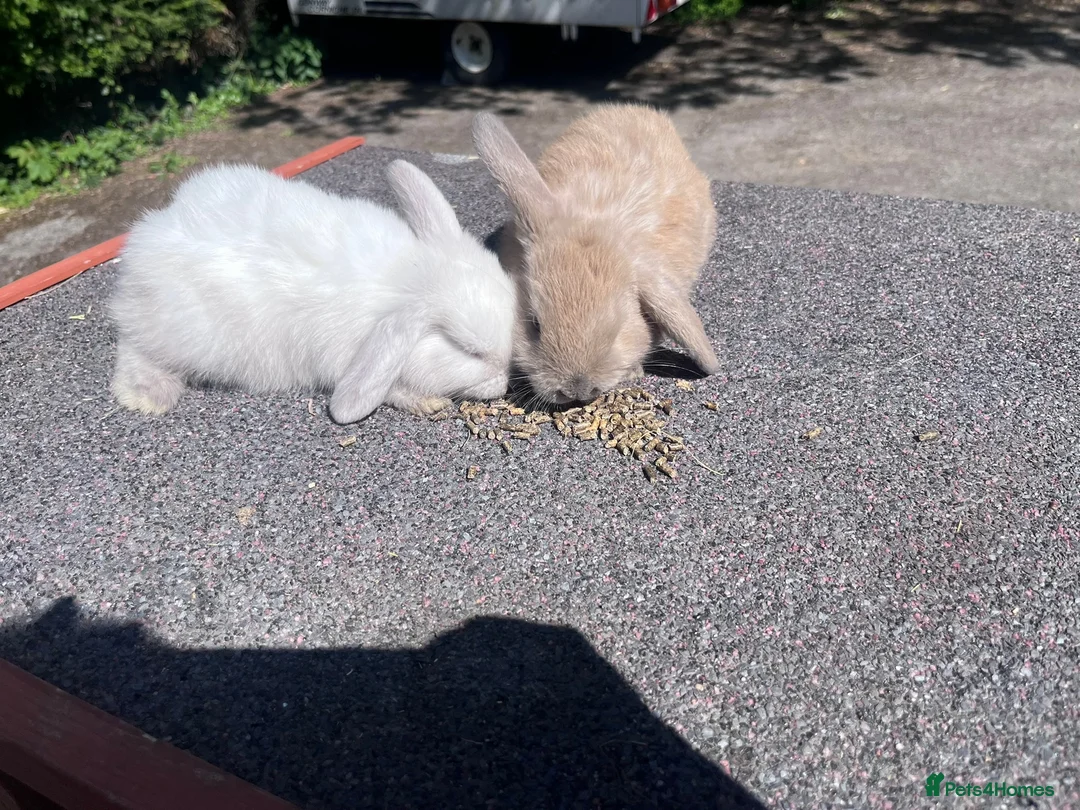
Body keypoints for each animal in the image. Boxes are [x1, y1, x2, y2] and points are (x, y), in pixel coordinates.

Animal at [107, 159, 516, 424]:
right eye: (468, 350)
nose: (505, 382)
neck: (406, 278)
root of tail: (146, 239)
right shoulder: (345, 359)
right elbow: (391, 389)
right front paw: (428, 402)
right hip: (181, 332)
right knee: (134, 346)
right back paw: (148, 395)